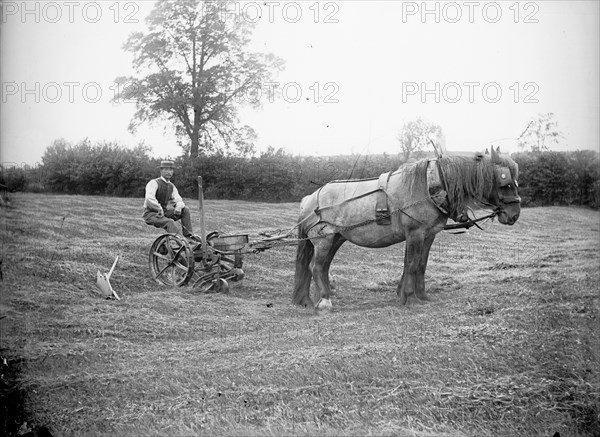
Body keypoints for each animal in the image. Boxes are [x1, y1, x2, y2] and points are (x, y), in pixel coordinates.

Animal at [292, 146, 520, 310]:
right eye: (505, 184)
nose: (515, 214)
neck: (428, 187)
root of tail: (308, 199)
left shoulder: (428, 235)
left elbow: (421, 265)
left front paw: (420, 296)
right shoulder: (415, 234)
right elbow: (411, 264)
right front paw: (410, 298)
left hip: (336, 239)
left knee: (322, 267)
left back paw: (314, 299)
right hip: (324, 240)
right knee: (316, 267)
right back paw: (324, 302)